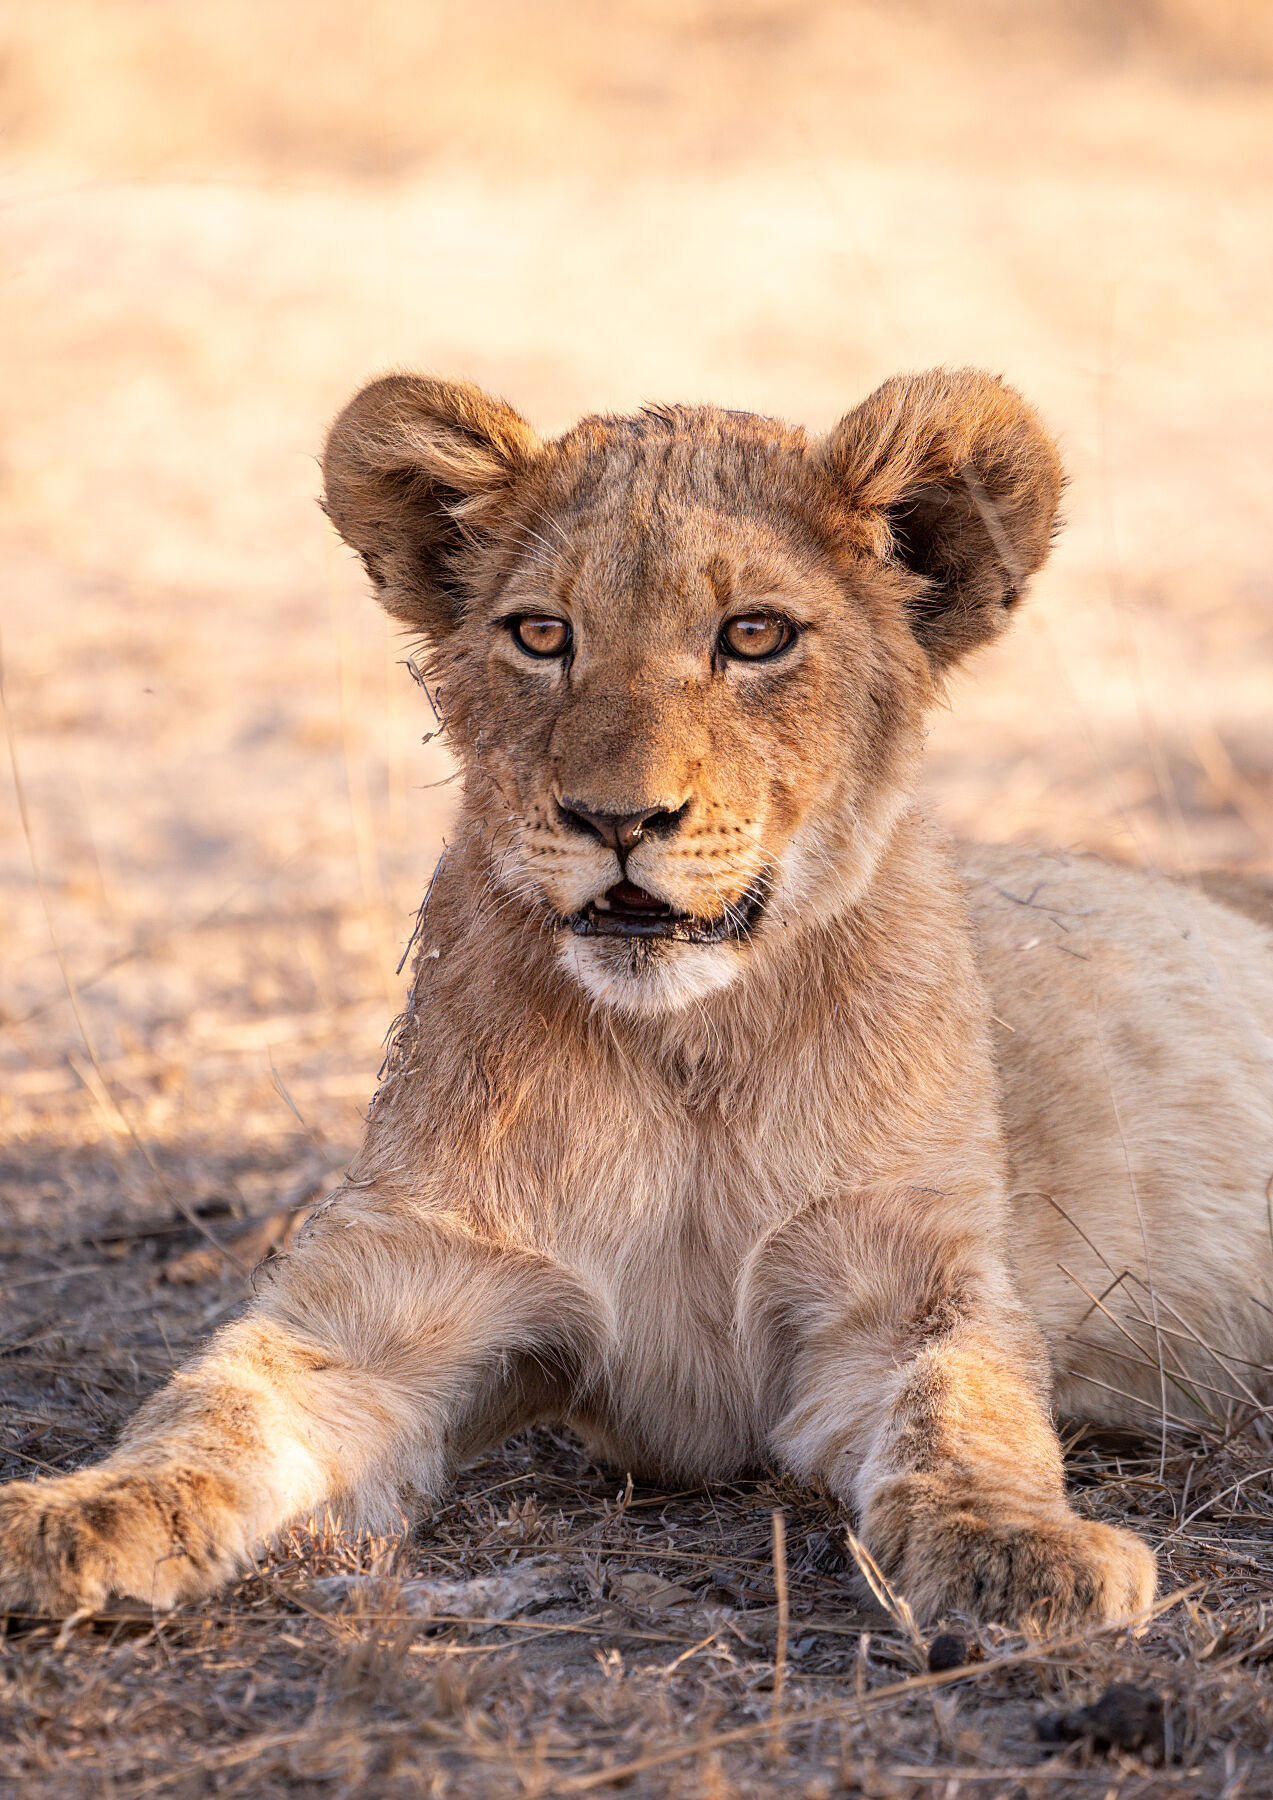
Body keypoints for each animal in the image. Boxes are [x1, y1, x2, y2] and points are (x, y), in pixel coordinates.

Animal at [3, 368, 1272, 1631]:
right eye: (542, 634)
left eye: (754, 636)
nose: (616, 820)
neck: (686, 1051)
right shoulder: (396, 1287)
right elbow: (218, 1403)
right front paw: (75, 1513)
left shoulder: (902, 1284)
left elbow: (966, 1409)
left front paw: (1019, 1556)